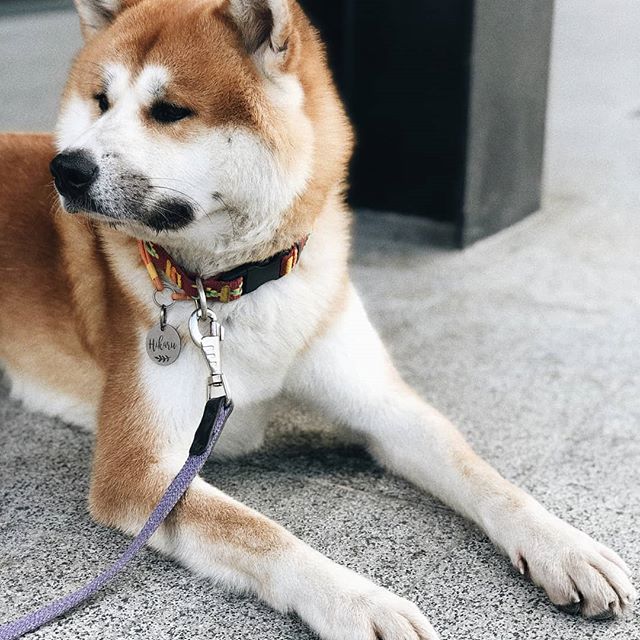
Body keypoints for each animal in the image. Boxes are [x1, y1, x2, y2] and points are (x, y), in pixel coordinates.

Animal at [1, 0, 636, 636]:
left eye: (170, 111)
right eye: (101, 101)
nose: (66, 170)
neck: (237, 284)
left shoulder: (383, 403)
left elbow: (482, 474)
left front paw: (564, 545)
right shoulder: (139, 471)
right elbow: (261, 533)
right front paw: (361, 602)